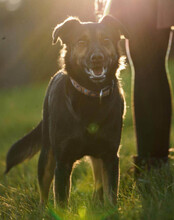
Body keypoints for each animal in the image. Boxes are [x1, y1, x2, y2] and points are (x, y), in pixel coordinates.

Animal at [5, 15, 128, 206]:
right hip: (47, 155)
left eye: (106, 40)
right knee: (43, 191)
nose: (97, 58)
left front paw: (110, 209)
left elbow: (111, 194)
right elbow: (61, 201)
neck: (91, 96)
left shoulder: (110, 156)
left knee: (98, 179)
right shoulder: (62, 161)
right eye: (81, 42)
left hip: (97, 156)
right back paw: (43, 209)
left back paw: (97, 203)